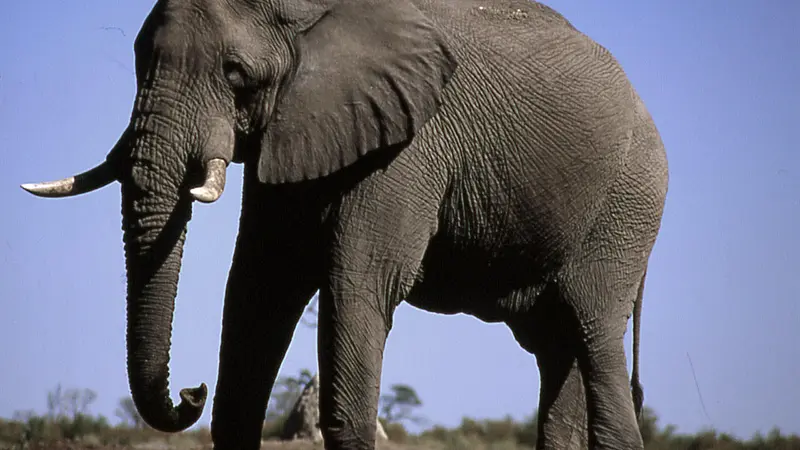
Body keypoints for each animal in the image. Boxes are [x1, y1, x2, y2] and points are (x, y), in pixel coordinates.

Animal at [21, 0, 668, 448]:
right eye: (137, 60)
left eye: (234, 73)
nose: (189, 391)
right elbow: (259, 287)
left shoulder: (408, 140)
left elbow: (357, 285)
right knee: (557, 348)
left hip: (627, 206)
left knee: (593, 333)